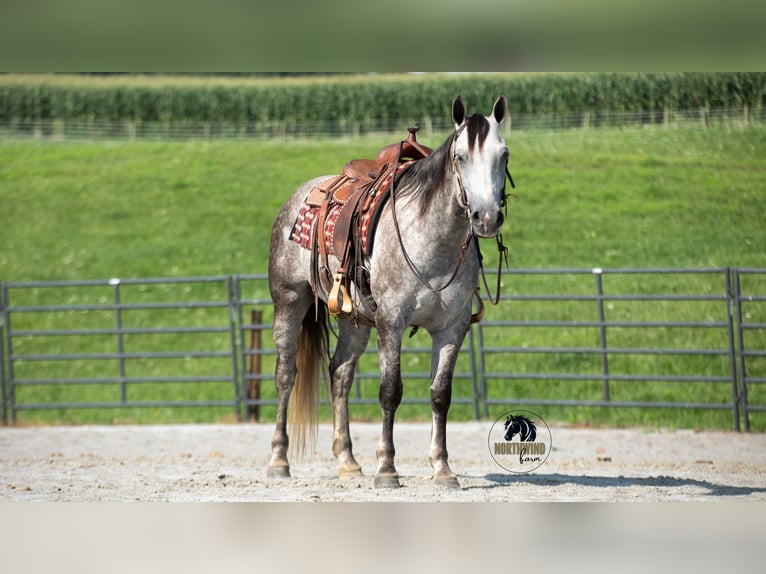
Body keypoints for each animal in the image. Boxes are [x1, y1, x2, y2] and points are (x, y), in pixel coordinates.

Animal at [267, 95, 512, 489]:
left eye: (503, 155)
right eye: (460, 157)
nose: (486, 217)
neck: (432, 239)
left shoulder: (452, 328)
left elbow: (440, 395)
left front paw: (442, 468)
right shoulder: (391, 321)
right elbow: (390, 391)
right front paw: (386, 469)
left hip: (354, 319)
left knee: (340, 373)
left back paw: (348, 461)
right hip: (289, 302)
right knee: (286, 374)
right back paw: (278, 460)